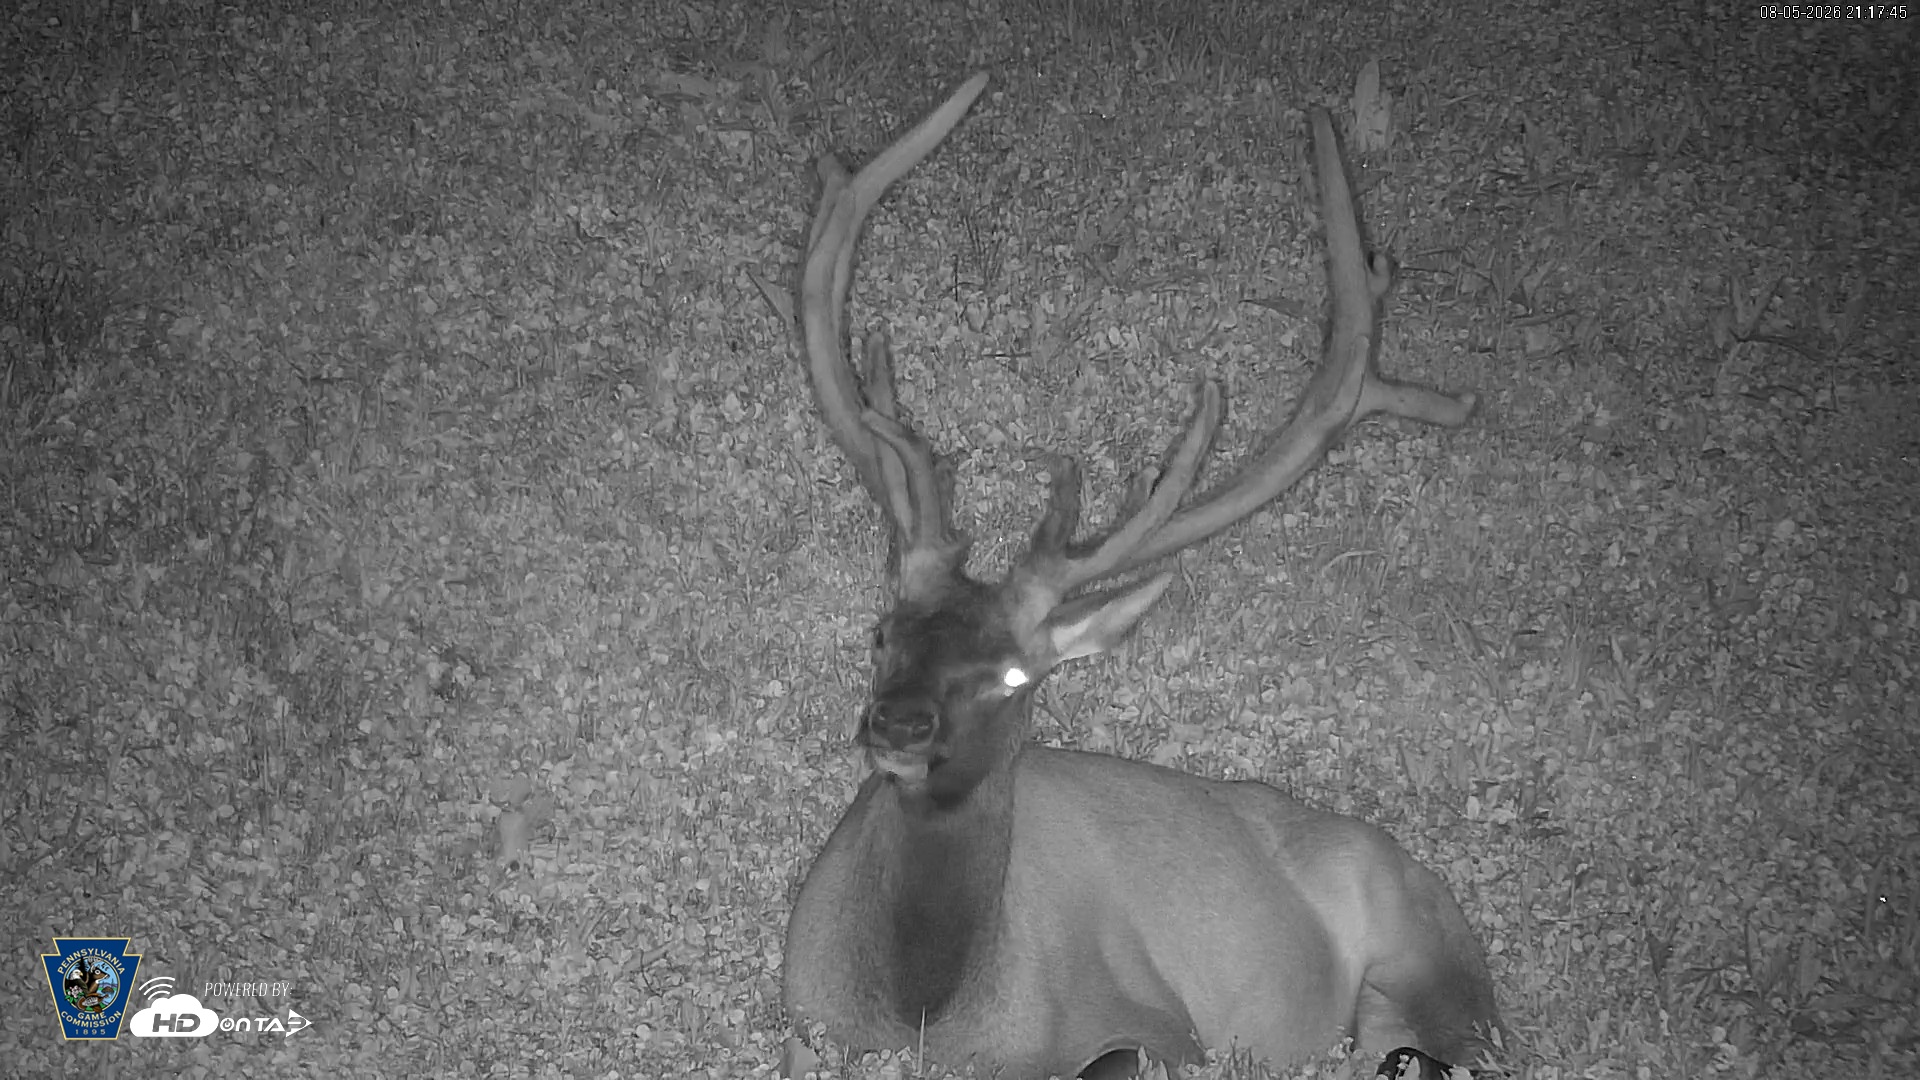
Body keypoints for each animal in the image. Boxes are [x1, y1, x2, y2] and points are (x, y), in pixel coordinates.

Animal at [780, 72, 1499, 1080]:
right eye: (881, 632)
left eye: (1016, 674)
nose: (900, 724)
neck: (925, 1014)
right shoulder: (800, 1015)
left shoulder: (1162, 1024)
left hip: (1434, 950)